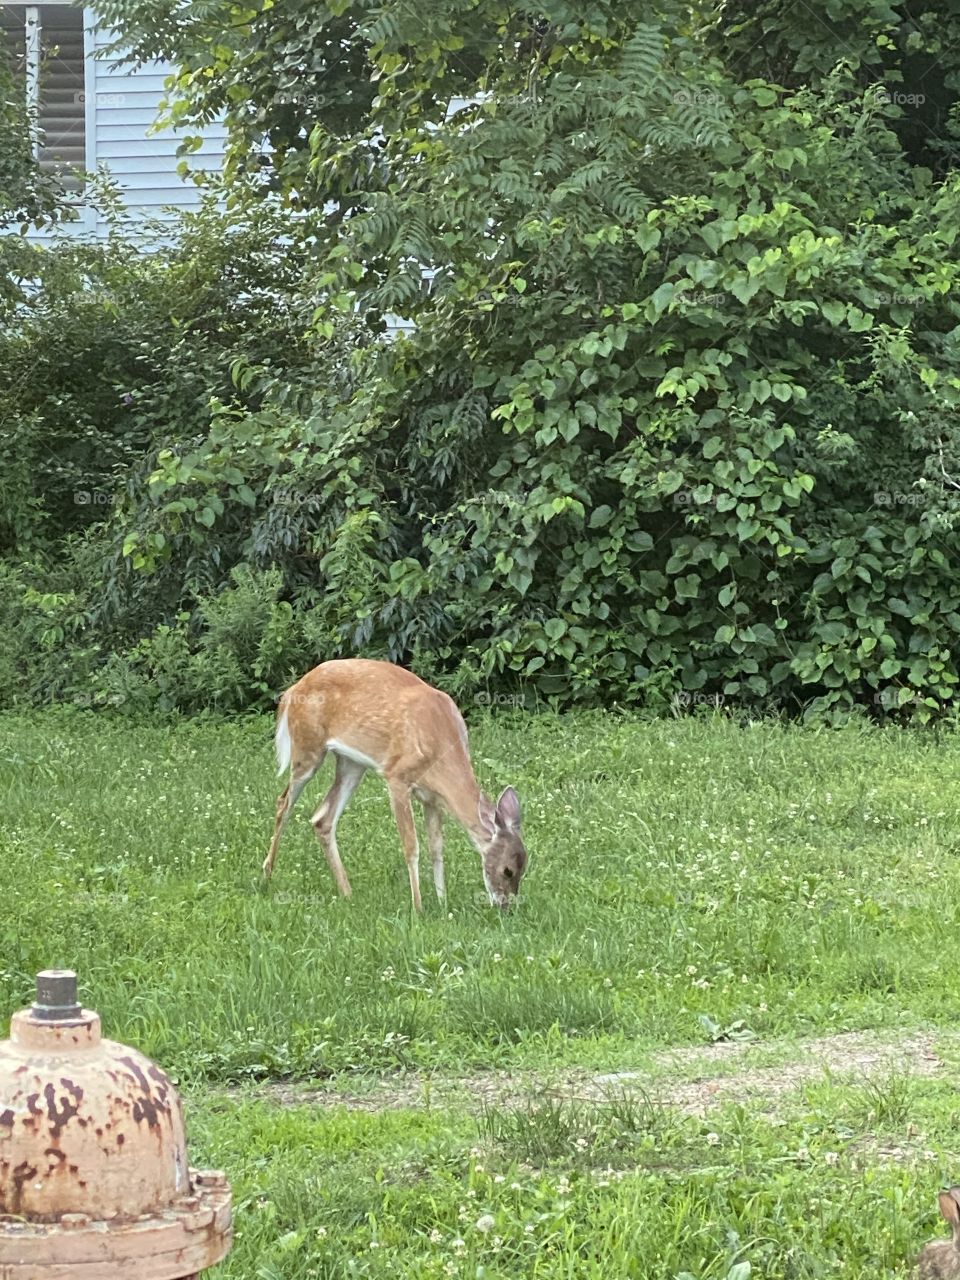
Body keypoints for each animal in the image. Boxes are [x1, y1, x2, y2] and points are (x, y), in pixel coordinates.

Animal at [263, 658, 528, 911]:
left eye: (523, 868)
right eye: (507, 870)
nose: (506, 907)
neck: (440, 744)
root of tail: (293, 690)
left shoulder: (433, 798)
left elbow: (436, 847)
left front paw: (442, 902)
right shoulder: (397, 777)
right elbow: (411, 847)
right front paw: (418, 907)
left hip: (351, 763)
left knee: (322, 818)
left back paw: (348, 893)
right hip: (307, 748)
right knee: (283, 802)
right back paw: (267, 875)